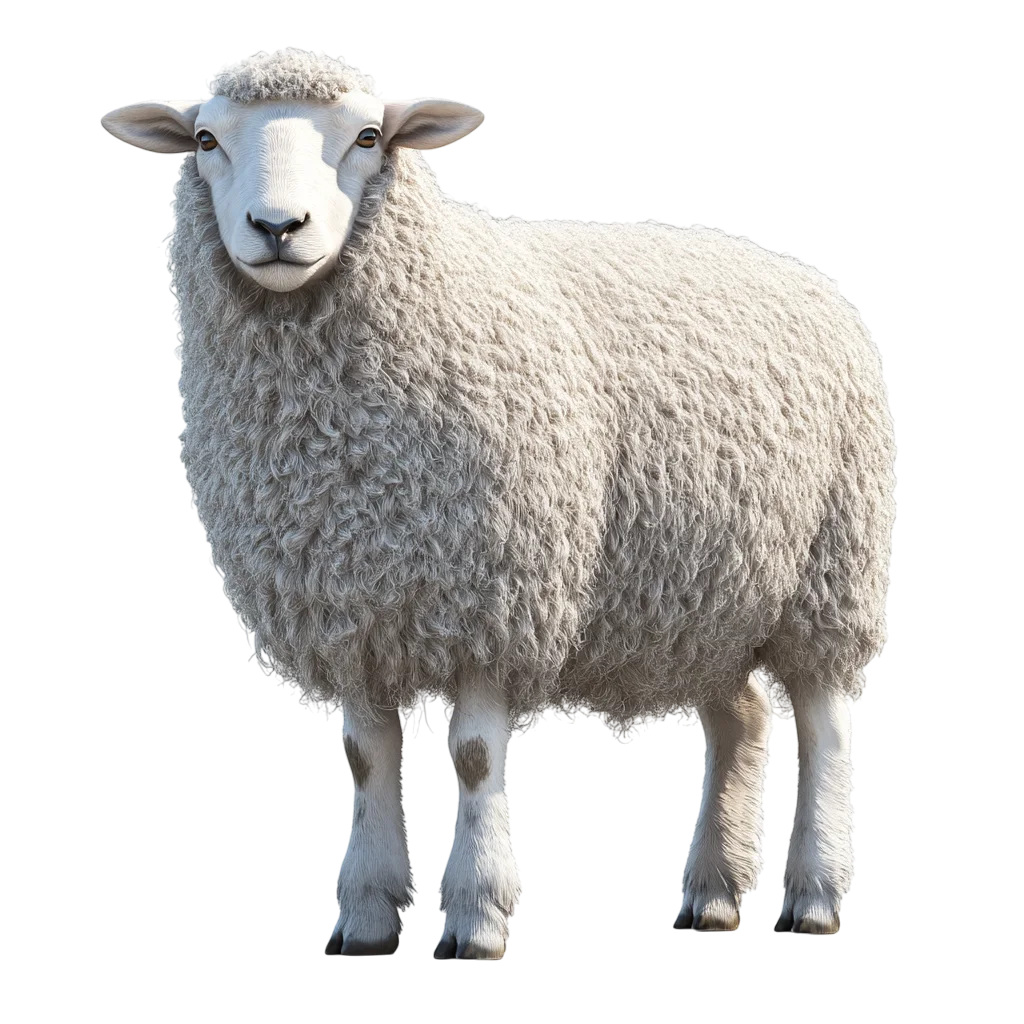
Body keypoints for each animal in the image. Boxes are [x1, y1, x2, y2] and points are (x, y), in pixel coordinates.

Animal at [100, 49, 894, 956]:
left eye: (369, 136)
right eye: (205, 140)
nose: (278, 227)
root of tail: (796, 266)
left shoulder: (494, 600)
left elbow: (477, 760)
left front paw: (477, 920)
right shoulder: (351, 608)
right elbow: (366, 761)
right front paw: (365, 920)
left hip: (831, 570)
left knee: (826, 723)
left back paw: (814, 896)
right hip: (704, 604)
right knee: (744, 718)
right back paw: (715, 896)